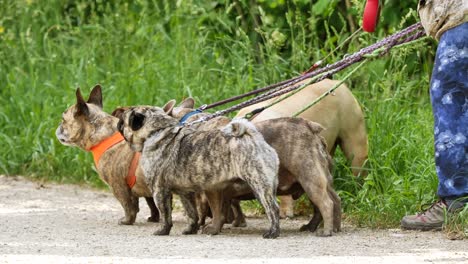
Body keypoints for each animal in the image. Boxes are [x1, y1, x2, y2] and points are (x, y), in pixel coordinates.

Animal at [55, 86, 159, 225]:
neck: (104, 135)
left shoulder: (118, 186)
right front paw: (154, 218)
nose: (58, 126)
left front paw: (127, 221)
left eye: (63, 120)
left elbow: (129, 205)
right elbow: (150, 203)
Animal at [117, 105, 282, 239]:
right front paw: (190, 230)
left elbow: (165, 215)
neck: (157, 131)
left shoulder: (159, 191)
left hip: (259, 185)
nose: (119, 121)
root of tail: (252, 136)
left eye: (123, 119)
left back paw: (272, 232)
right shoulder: (185, 193)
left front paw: (162, 231)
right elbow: (192, 214)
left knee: (273, 209)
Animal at [165, 98, 340, 236]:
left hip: (309, 178)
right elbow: (222, 210)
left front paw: (211, 228)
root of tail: (310, 127)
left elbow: (213, 209)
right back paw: (329, 227)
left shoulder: (210, 189)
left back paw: (326, 231)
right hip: (320, 179)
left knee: (325, 203)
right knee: (333, 200)